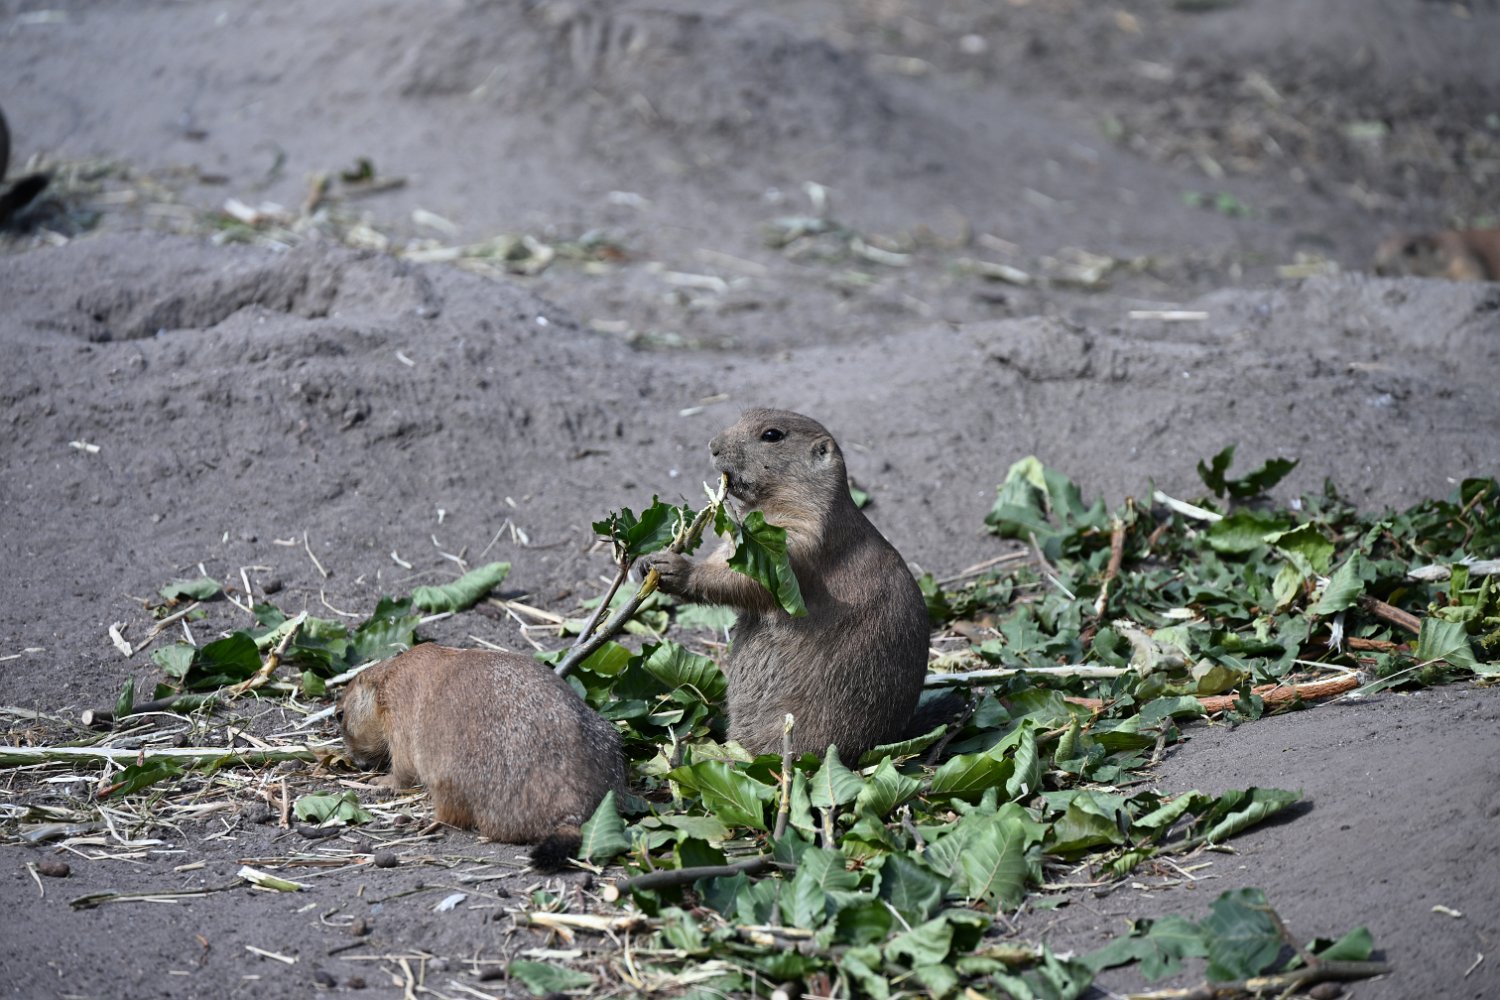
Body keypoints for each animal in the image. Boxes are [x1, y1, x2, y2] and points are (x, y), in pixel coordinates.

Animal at [337, 645, 626, 869]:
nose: (357, 764)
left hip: (449, 777)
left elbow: (403, 761)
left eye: (340, 715)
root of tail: (571, 810)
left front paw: (381, 783)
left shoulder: (397, 707)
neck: (386, 676)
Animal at [640, 408, 930, 762]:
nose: (712, 445)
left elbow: (755, 579)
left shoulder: (801, 535)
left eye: (772, 435)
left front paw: (675, 568)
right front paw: (648, 562)